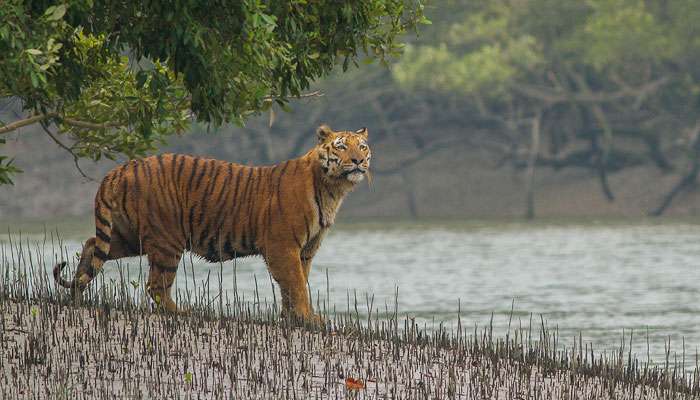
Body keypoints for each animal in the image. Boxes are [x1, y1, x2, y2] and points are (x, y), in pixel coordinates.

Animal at [53, 125, 372, 322]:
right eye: (341, 147)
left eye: (363, 147)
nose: (358, 161)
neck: (332, 189)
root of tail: (121, 168)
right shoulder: (283, 246)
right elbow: (296, 284)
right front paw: (308, 318)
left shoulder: (305, 250)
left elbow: (294, 285)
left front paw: (292, 317)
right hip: (167, 239)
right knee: (156, 285)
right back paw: (182, 312)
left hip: (130, 236)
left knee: (92, 245)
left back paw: (76, 295)